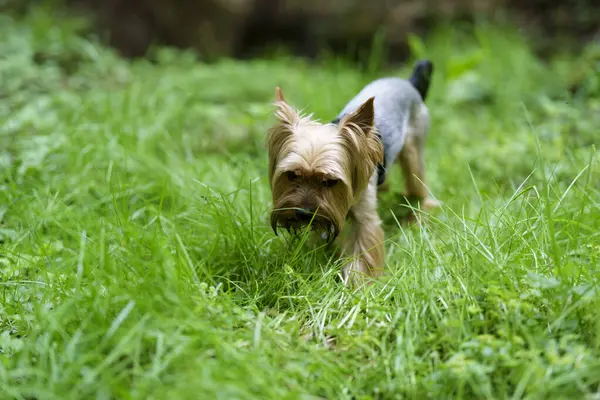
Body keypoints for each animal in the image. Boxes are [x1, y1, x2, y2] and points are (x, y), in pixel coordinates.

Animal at [268, 60, 440, 284]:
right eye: (292, 175)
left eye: (330, 181)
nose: (304, 213)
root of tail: (408, 83)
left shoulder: (364, 217)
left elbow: (362, 253)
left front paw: (357, 285)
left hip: (414, 150)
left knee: (417, 185)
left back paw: (416, 217)